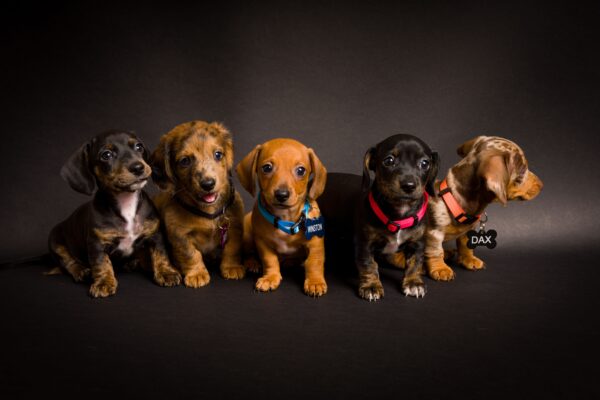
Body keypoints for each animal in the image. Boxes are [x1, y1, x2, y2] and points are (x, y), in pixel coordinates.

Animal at [47, 129, 180, 296]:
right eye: (106, 155)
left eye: (138, 147)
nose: (138, 167)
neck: (126, 203)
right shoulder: (97, 244)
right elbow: (101, 263)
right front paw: (103, 282)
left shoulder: (155, 234)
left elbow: (161, 254)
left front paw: (166, 272)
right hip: (55, 240)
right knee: (68, 262)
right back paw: (81, 271)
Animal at [149, 120, 244, 286]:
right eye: (185, 161)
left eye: (218, 154)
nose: (208, 184)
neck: (207, 212)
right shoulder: (179, 235)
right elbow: (190, 254)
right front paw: (197, 274)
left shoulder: (234, 228)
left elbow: (232, 249)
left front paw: (232, 267)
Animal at [236, 139, 328, 296]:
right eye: (267, 168)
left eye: (301, 170)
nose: (282, 194)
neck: (285, 219)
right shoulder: (263, 243)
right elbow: (269, 260)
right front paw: (270, 278)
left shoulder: (315, 243)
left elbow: (314, 262)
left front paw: (315, 282)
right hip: (247, 234)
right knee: (248, 253)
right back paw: (252, 263)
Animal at [354, 134, 438, 300]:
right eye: (389, 160)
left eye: (425, 163)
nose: (409, 185)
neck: (400, 213)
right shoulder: (365, 243)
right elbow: (368, 264)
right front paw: (371, 286)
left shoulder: (417, 243)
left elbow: (415, 263)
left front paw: (413, 283)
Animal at [426, 136, 544, 280]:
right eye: (523, 168)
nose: (542, 185)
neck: (455, 200)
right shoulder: (434, 233)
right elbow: (436, 251)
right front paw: (440, 268)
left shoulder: (468, 231)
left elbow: (465, 245)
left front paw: (469, 259)